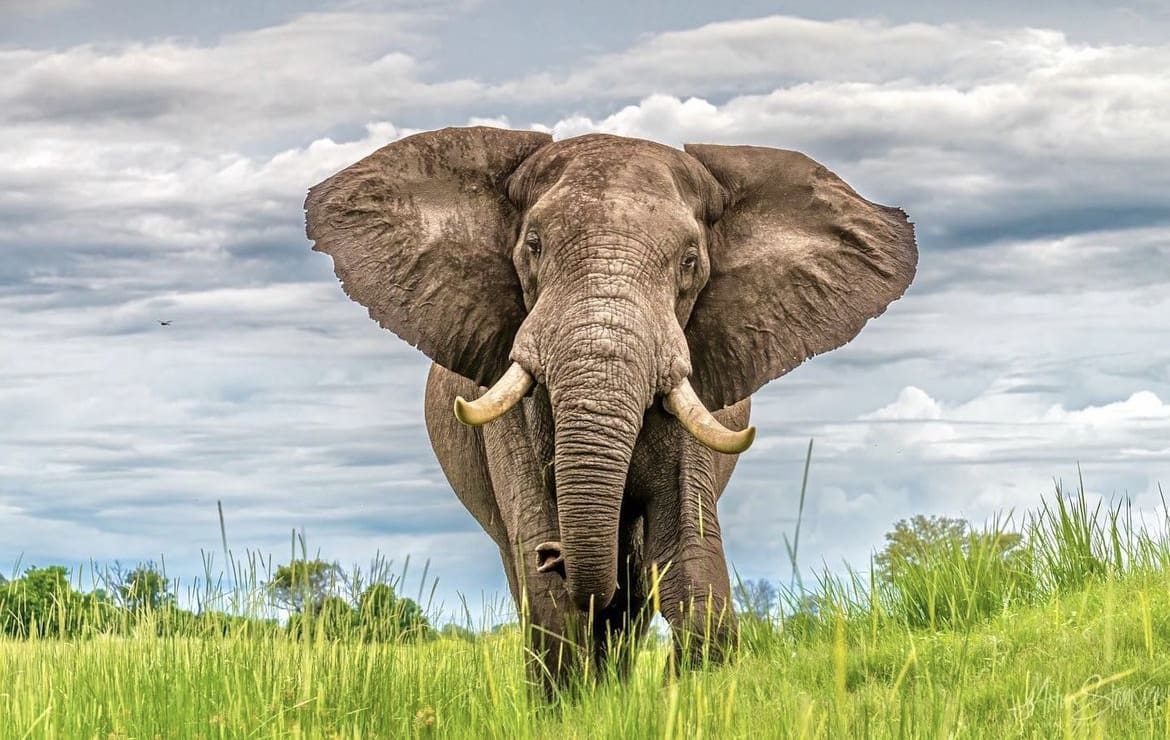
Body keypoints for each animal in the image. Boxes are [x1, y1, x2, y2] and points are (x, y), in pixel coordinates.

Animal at [304, 126, 916, 694]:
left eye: (690, 261)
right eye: (533, 245)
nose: (555, 553)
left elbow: (687, 563)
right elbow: (548, 595)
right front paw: (569, 708)